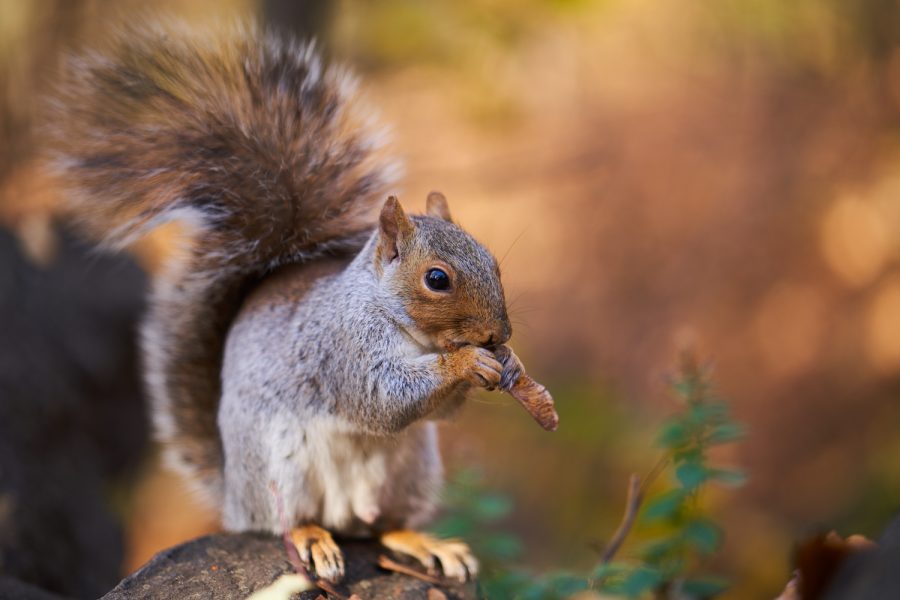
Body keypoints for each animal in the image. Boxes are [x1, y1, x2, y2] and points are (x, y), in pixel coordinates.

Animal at [46, 22, 515, 583]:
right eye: (437, 278)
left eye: (493, 261)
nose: (500, 335)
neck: (410, 331)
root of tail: (233, 496)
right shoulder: (342, 345)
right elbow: (382, 399)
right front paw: (468, 362)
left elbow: (438, 414)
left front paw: (503, 365)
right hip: (280, 464)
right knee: (287, 521)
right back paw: (314, 539)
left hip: (412, 470)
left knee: (383, 528)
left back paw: (425, 543)